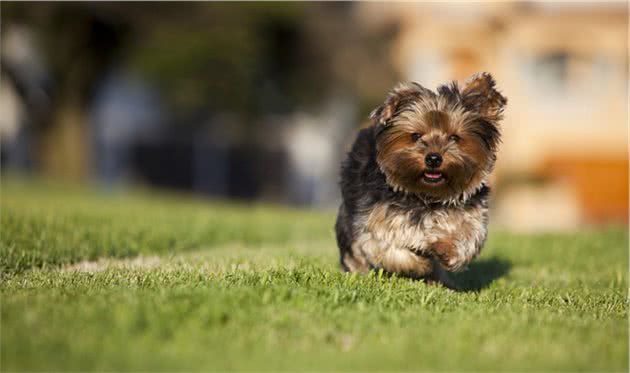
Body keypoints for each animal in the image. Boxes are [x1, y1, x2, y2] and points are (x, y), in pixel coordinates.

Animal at [336, 73, 508, 288]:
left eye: (454, 137)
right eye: (415, 136)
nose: (433, 158)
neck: (427, 197)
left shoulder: (472, 215)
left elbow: (467, 238)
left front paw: (445, 249)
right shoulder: (376, 223)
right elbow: (389, 250)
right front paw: (420, 263)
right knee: (353, 250)